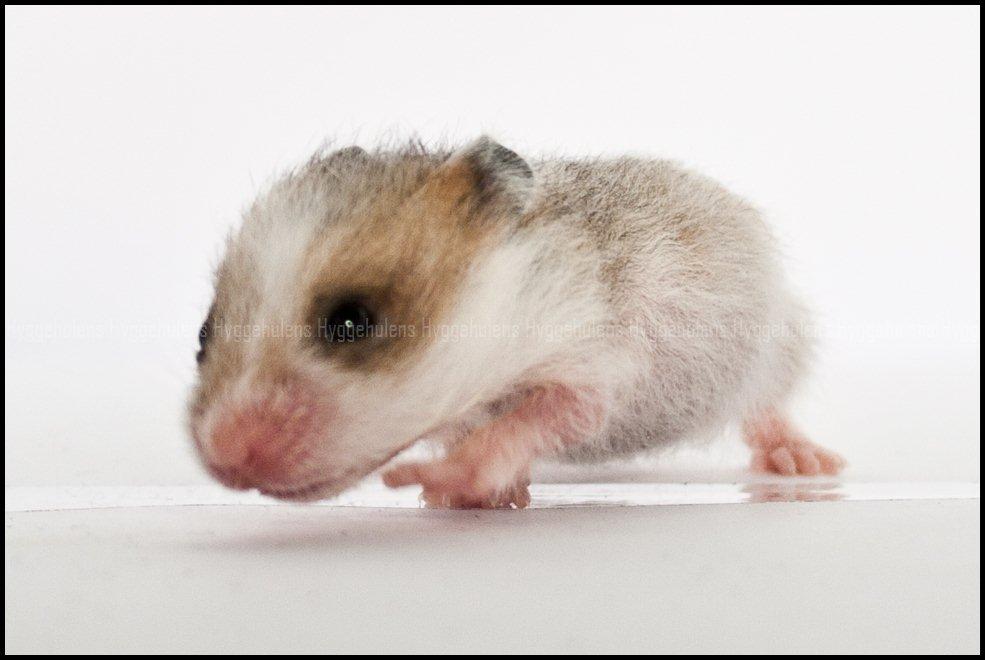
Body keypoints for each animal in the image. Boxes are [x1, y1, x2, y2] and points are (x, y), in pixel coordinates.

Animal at [188, 137, 845, 508]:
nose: (222, 458)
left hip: (780, 341)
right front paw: (483, 499)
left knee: (766, 406)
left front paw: (432, 483)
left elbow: (524, 425)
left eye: (352, 322)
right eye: (203, 334)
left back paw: (803, 464)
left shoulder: (590, 367)